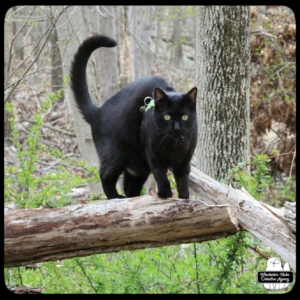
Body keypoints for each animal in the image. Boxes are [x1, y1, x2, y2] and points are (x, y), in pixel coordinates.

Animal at [69, 34, 197, 199]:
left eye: (184, 117)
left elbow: (183, 181)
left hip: (138, 167)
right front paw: (165, 194)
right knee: (105, 176)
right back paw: (116, 197)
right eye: (167, 117)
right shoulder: (153, 155)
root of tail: (98, 112)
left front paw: (184, 199)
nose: (176, 128)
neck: (174, 144)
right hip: (115, 156)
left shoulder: (184, 160)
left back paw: (133, 198)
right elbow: (161, 175)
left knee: (129, 187)